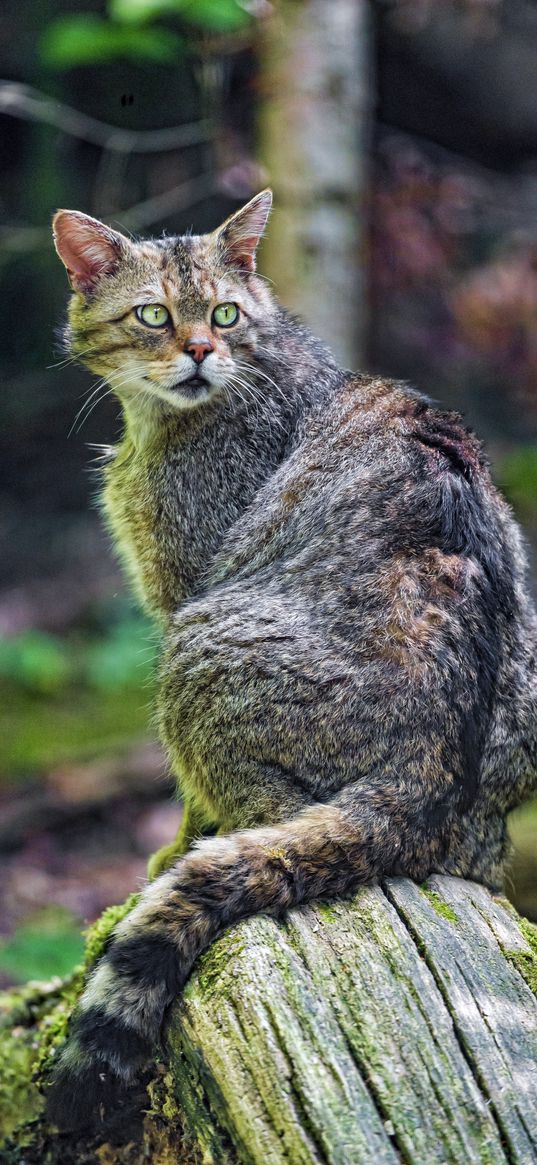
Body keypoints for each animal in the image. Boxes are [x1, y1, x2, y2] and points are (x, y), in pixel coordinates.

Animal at [48, 191, 533, 1127]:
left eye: (224, 316)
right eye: (154, 315)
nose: (200, 352)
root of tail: (427, 772)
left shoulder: (181, 592)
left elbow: (188, 813)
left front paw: (165, 857)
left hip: (198, 647)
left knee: (258, 819)